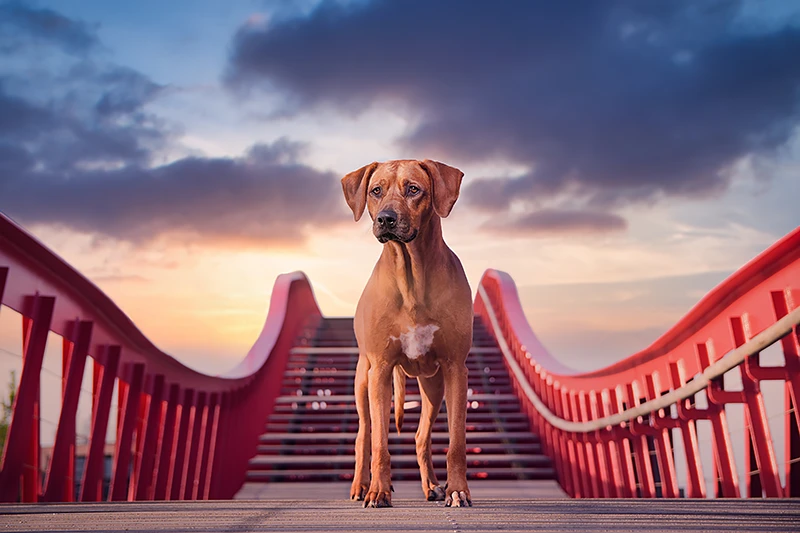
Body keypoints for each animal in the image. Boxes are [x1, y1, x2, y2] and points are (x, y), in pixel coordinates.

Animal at [340, 158, 476, 508]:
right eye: (376, 191)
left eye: (414, 189)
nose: (386, 218)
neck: (412, 276)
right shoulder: (380, 369)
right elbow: (379, 444)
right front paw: (378, 492)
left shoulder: (456, 368)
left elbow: (456, 442)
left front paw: (457, 490)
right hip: (363, 379)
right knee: (364, 435)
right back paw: (361, 486)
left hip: (433, 386)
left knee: (420, 437)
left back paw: (431, 486)